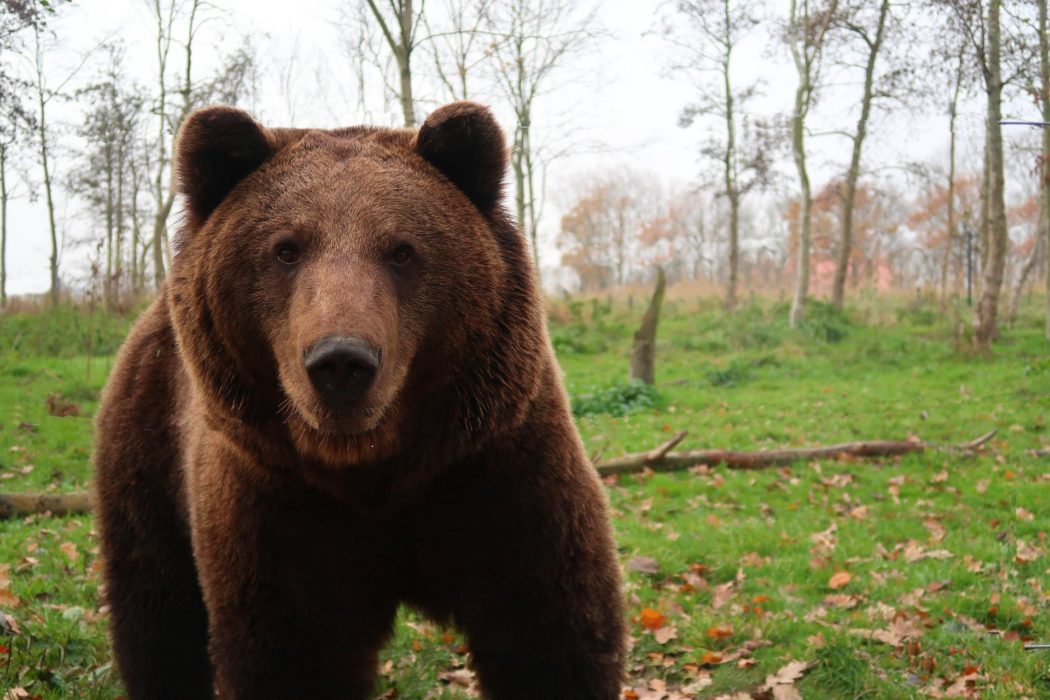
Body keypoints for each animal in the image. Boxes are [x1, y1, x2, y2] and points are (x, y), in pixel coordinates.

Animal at [93, 101, 626, 700]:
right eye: (286, 248)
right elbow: (291, 655)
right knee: (158, 616)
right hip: (148, 454)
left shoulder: (493, 471)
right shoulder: (281, 507)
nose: (341, 362)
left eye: (402, 250)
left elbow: (550, 632)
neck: (373, 469)